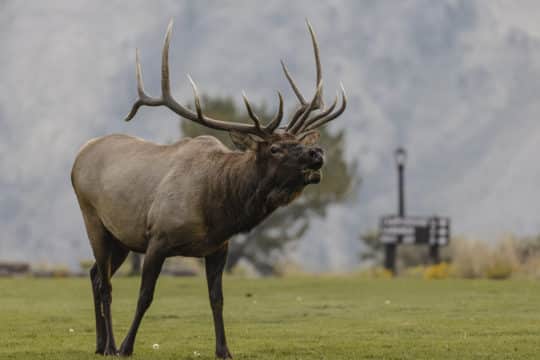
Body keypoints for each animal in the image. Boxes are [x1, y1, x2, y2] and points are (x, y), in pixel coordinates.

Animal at [70, 19, 346, 358]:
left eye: (298, 142)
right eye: (274, 148)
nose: (317, 153)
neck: (218, 208)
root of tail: (81, 154)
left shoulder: (218, 247)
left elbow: (217, 299)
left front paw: (224, 350)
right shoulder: (158, 238)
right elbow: (145, 296)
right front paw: (126, 346)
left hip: (121, 236)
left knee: (95, 274)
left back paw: (99, 343)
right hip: (93, 218)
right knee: (106, 283)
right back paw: (110, 345)